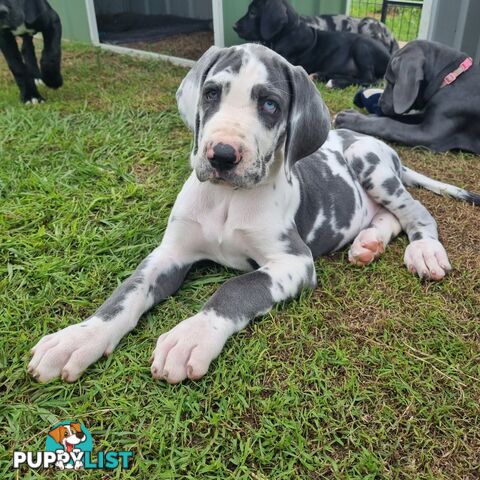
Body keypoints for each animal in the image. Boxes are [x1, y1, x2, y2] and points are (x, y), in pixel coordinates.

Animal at [235, 0, 390, 88]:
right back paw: (321, 76)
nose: (234, 26)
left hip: (361, 46)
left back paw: (335, 82)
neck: (288, 32)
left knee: (370, 79)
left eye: (253, 12)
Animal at [336, 41, 480, 155]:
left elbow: (389, 124)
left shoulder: (431, 135)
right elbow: (397, 118)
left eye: (390, 81)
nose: (380, 103)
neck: (451, 76)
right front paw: (364, 116)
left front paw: (350, 119)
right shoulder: (424, 115)